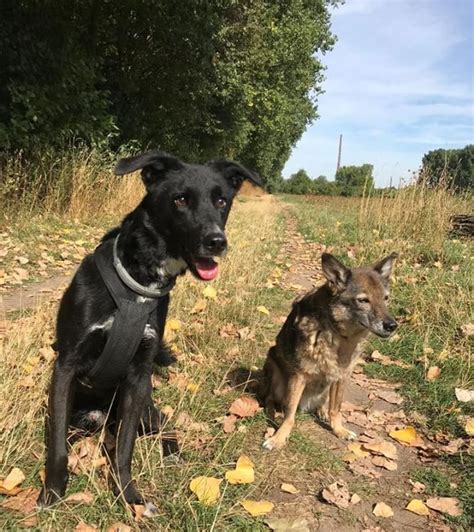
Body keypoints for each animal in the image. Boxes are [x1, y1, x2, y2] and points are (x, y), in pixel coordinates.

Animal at [37, 150, 262, 508]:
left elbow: (124, 449)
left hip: (147, 410)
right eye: (180, 199)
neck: (138, 284)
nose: (217, 242)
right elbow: (57, 444)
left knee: (165, 425)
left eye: (222, 200)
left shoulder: (138, 379)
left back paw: (172, 453)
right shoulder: (66, 367)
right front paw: (53, 493)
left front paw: (128, 495)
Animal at [262, 252, 398, 448]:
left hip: (325, 388)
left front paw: (339, 430)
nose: (392, 326)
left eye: (386, 298)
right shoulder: (299, 376)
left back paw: (322, 412)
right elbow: (289, 414)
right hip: (275, 372)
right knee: (271, 399)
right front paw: (278, 438)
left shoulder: (341, 377)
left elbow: (336, 409)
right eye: (363, 300)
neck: (339, 335)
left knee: (322, 404)